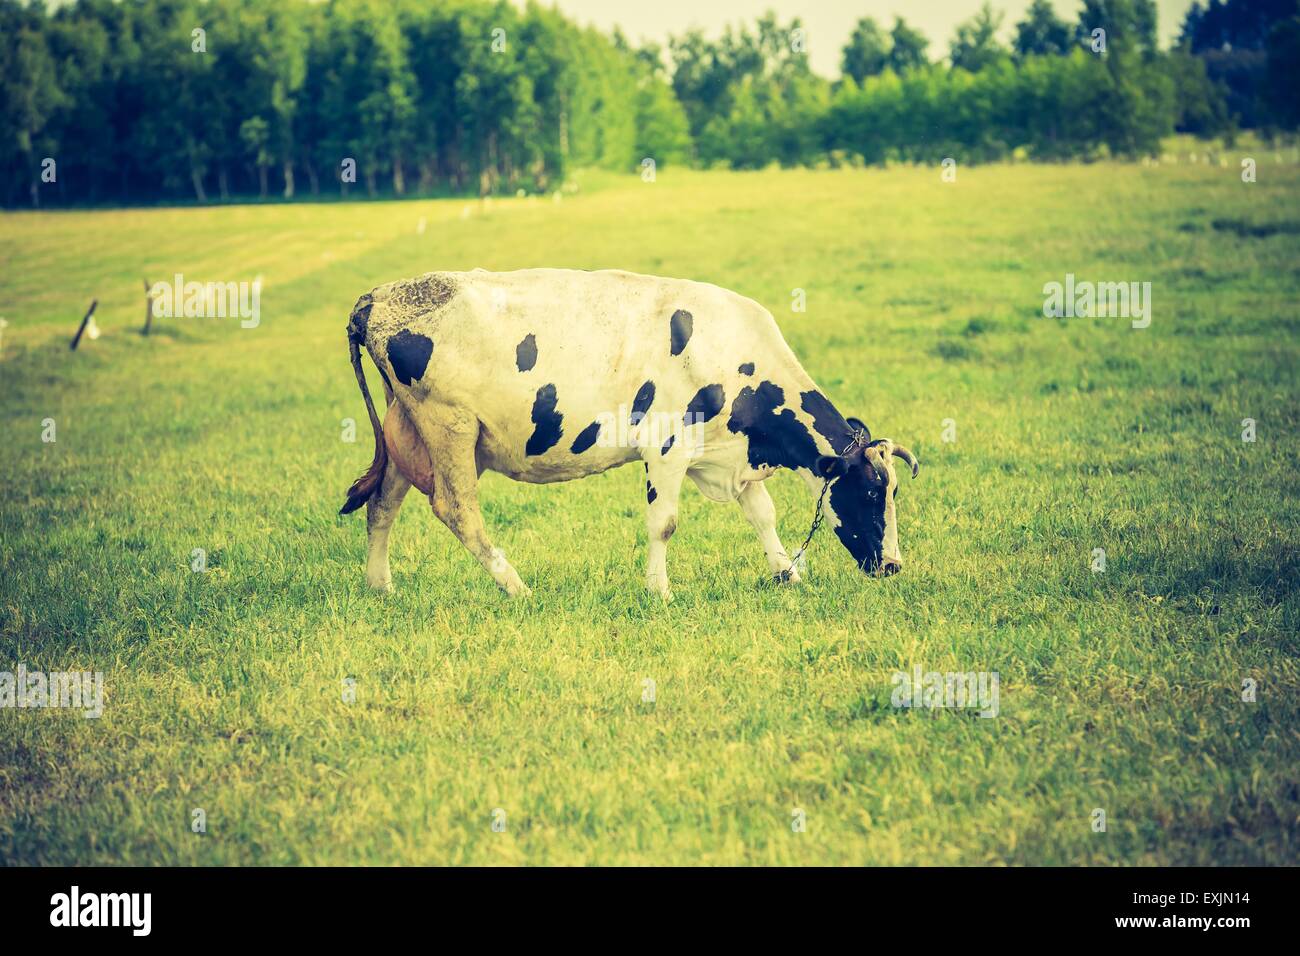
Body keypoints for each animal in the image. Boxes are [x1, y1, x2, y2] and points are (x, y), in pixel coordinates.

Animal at [340, 269, 920, 598]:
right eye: (872, 492)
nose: (893, 566)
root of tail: (377, 297)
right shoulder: (666, 447)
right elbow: (664, 524)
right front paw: (659, 591)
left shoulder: (729, 454)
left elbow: (762, 514)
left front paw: (785, 573)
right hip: (449, 427)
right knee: (457, 510)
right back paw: (516, 586)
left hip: (406, 432)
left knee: (383, 503)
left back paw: (381, 586)